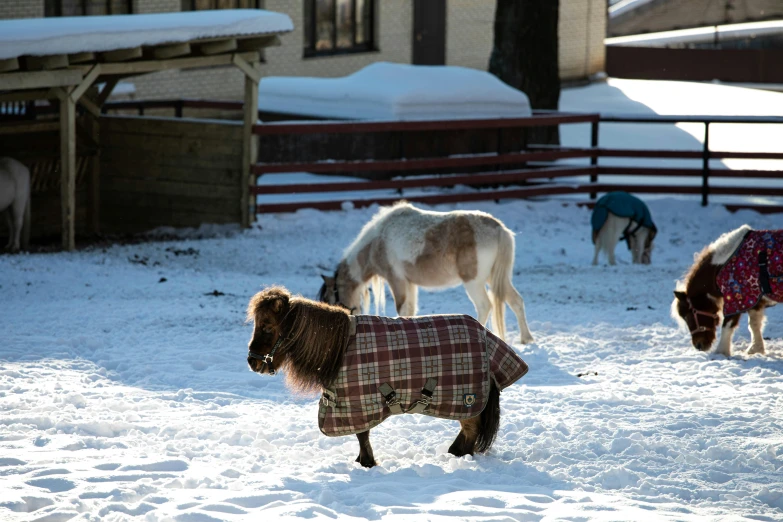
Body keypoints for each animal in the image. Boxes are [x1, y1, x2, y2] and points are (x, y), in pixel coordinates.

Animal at [248, 284, 528, 468]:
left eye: (267, 327)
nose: (252, 361)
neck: (339, 346)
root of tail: (486, 335)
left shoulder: (359, 405)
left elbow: (362, 435)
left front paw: (367, 463)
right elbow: (362, 435)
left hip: (467, 401)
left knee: (471, 430)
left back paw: (459, 457)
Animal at [316, 201, 532, 344]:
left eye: (329, 299)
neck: (379, 240)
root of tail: (498, 229)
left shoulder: (397, 280)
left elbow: (402, 308)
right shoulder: (409, 283)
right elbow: (410, 310)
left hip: (474, 282)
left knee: (485, 306)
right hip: (495, 279)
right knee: (516, 300)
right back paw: (526, 339)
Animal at [672, 225, 783, 356]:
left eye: (688, 315)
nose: (699, 346)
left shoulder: (735, 300)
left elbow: (727, 325)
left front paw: (721, 351)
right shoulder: (754, 300)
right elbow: (754, 324)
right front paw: (756, 349)